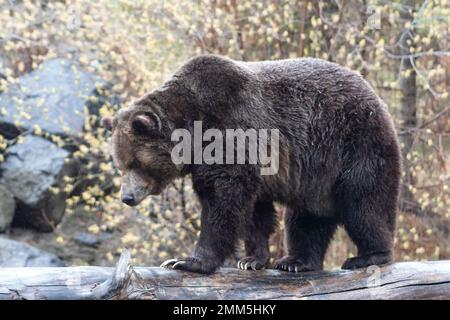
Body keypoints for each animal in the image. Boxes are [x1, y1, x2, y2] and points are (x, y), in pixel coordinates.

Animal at [103, 53, 402, 274]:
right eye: (120, 165)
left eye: (135, 163)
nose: (127, 197)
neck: (193, 127)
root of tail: (378, 99)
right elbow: (254, 211)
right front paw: (252, 259)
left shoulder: (230, 129)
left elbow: (223, 199)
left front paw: (187, 261)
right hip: (315, 175)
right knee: (307, 217)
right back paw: (296, 262)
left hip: (355, 144)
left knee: (363, 202)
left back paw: (370, 255)